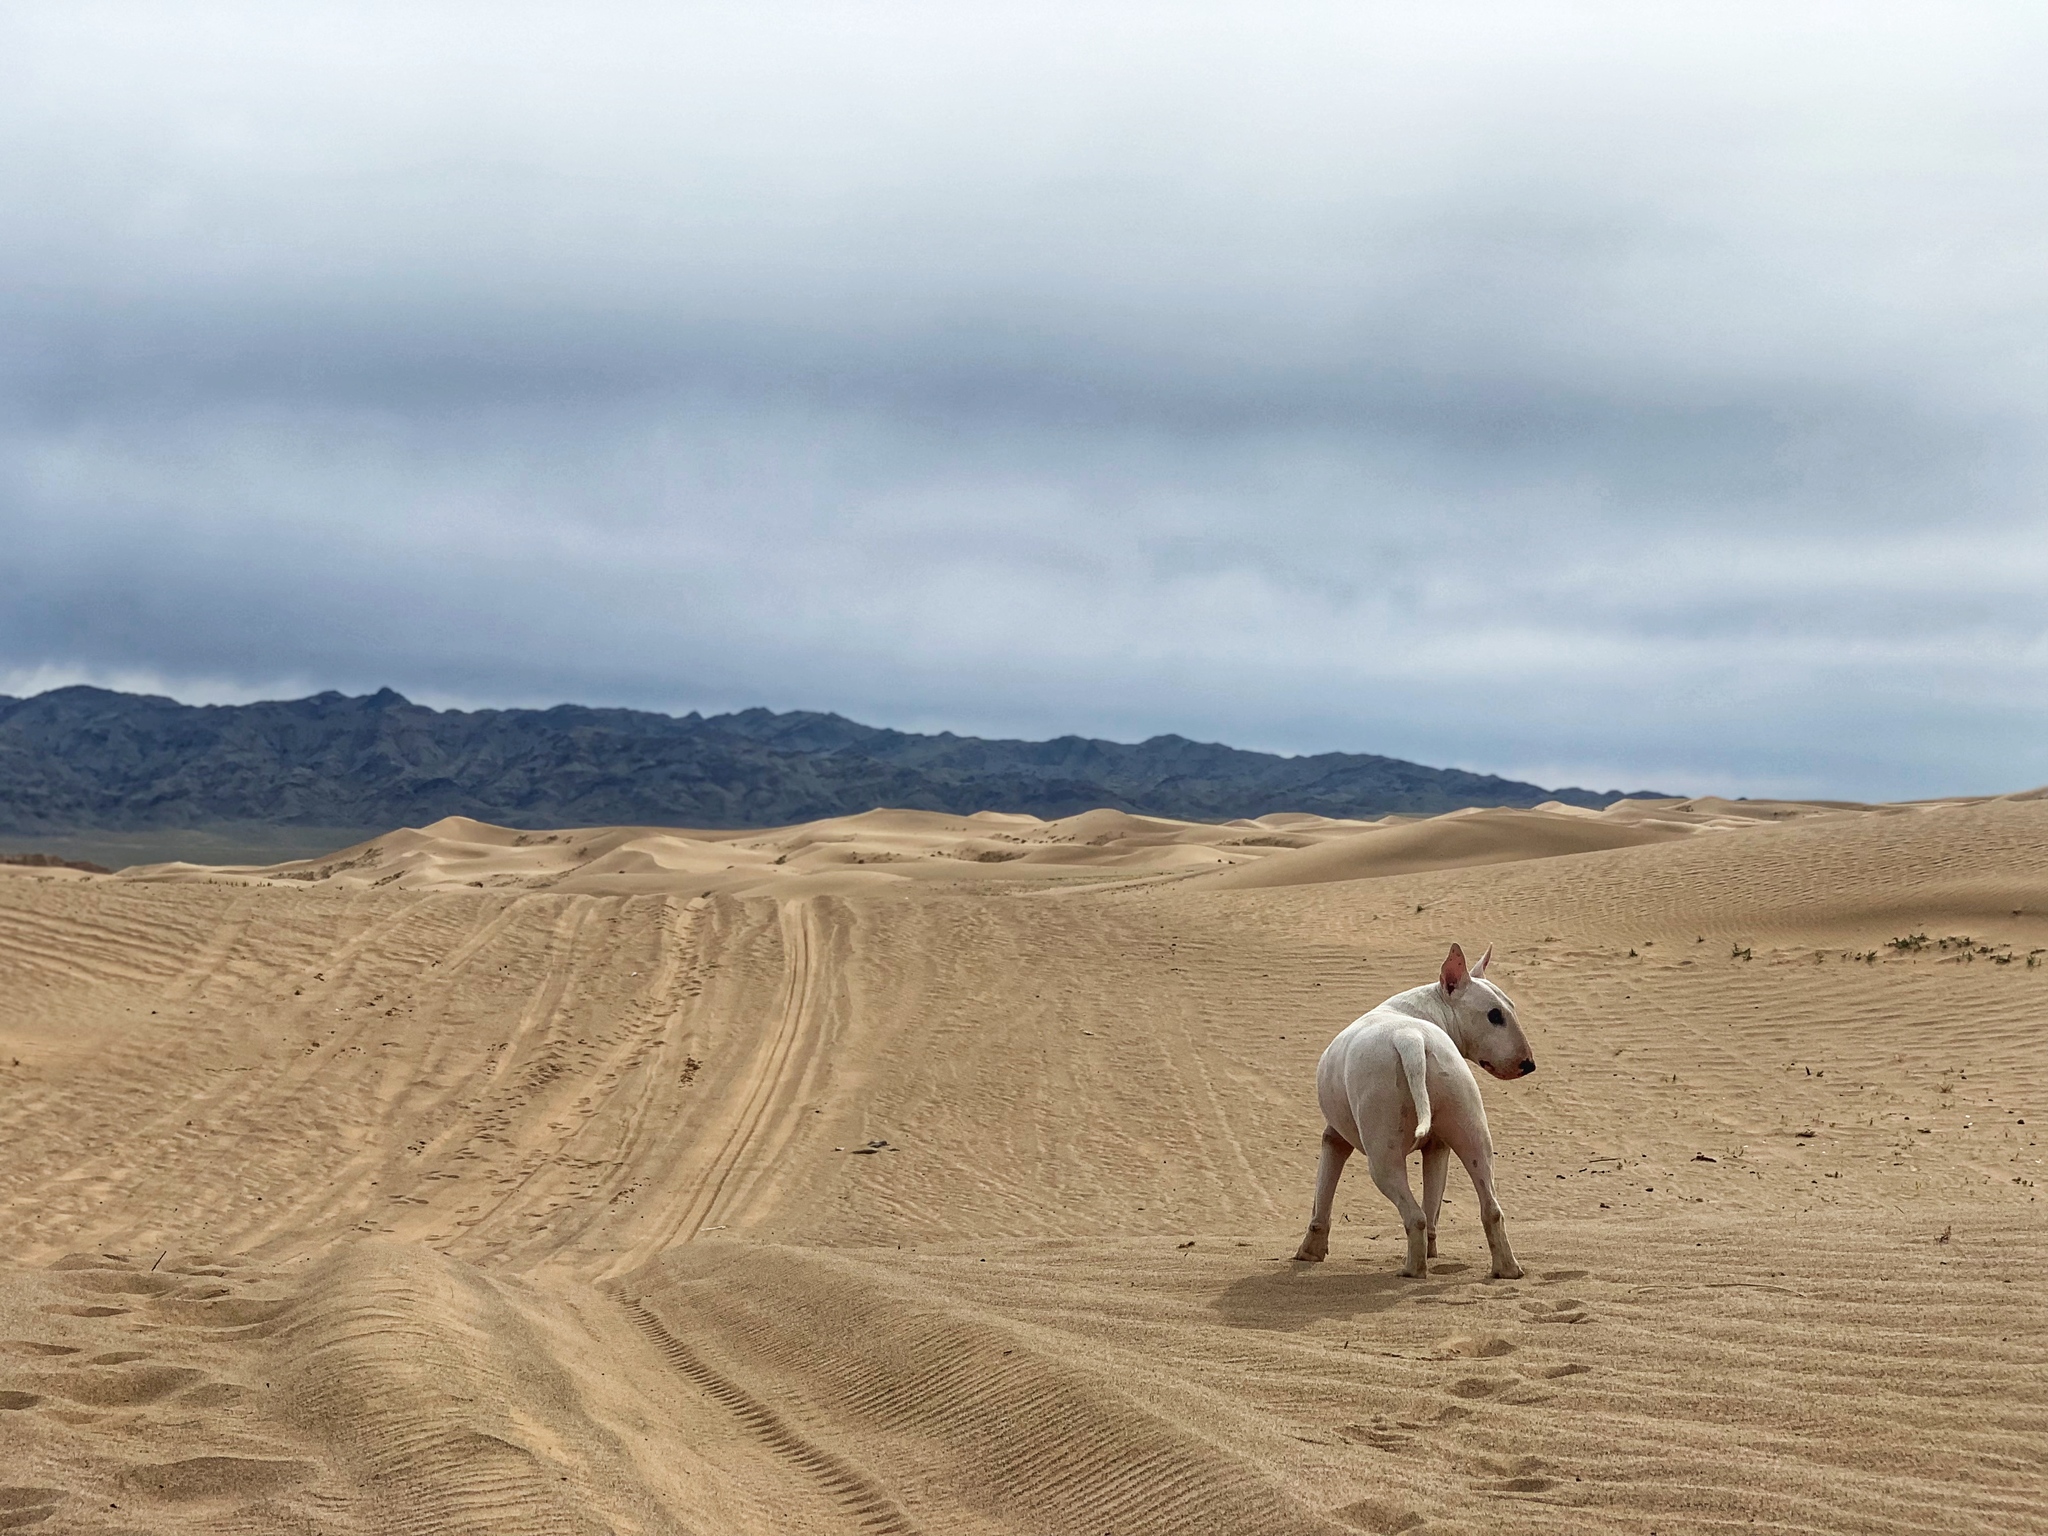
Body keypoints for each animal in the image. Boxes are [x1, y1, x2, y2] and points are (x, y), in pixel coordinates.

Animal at [1286, 946, 1531, 1277]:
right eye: (1495, 1015)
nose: (1529, 1064)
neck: (1421, 1011)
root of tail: (1410, 1038)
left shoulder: (1333, 1136)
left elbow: (1322, 1192)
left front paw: (1309, 1252)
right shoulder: (1438, 1148)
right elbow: (1435, 1199)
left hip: (1381, 1149)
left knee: (1414, 1215)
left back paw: (1412, 1270)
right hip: (1469, 1124)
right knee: (1489, 1207)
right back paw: (1506, 1269)